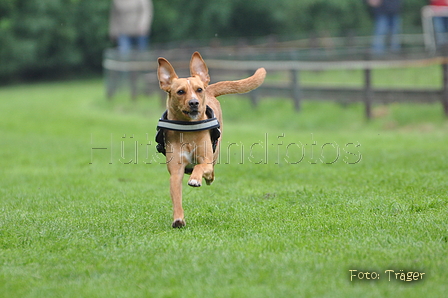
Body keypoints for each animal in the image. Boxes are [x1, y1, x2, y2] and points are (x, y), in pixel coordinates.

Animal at [157, 51, 266, 228]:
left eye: (198, 89)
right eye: (180, 92)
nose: (194, 102)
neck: (188, 128)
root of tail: (210, 90)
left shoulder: (206, 159)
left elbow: (200, 166)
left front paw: (195, 178)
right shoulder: (176, 170)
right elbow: (176, 196)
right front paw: (178, 219)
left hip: (216, 151)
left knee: (211, 172)